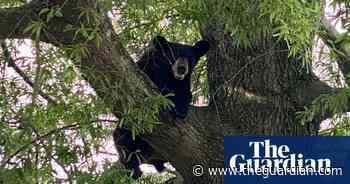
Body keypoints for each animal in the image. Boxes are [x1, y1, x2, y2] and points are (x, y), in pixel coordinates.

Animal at [113, 36, 209, 180]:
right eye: (173, 55)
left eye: (190, 59)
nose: (182, 69)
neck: (170, 75)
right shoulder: (149, 67)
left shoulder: (183, 83)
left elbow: (185, 94)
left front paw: (180, 109)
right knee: (123, 138)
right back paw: (133, 168)